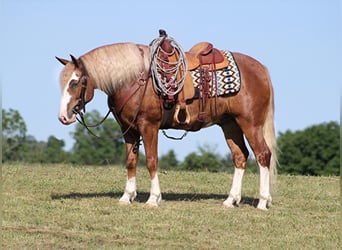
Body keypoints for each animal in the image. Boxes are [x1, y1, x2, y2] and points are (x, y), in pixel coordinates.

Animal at [55, 37, 276, 209]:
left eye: (75, 82)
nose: (63, 116)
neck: (135, 78)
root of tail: (261, 69)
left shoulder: (148, 126)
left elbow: (152, 161)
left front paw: (153, 199)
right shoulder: (128, 130)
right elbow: (131, 161)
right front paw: (127, 196)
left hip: (250, 123)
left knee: (263, 155)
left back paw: (263, 201)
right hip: (230, 124)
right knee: (240, 157)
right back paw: (231, 200)